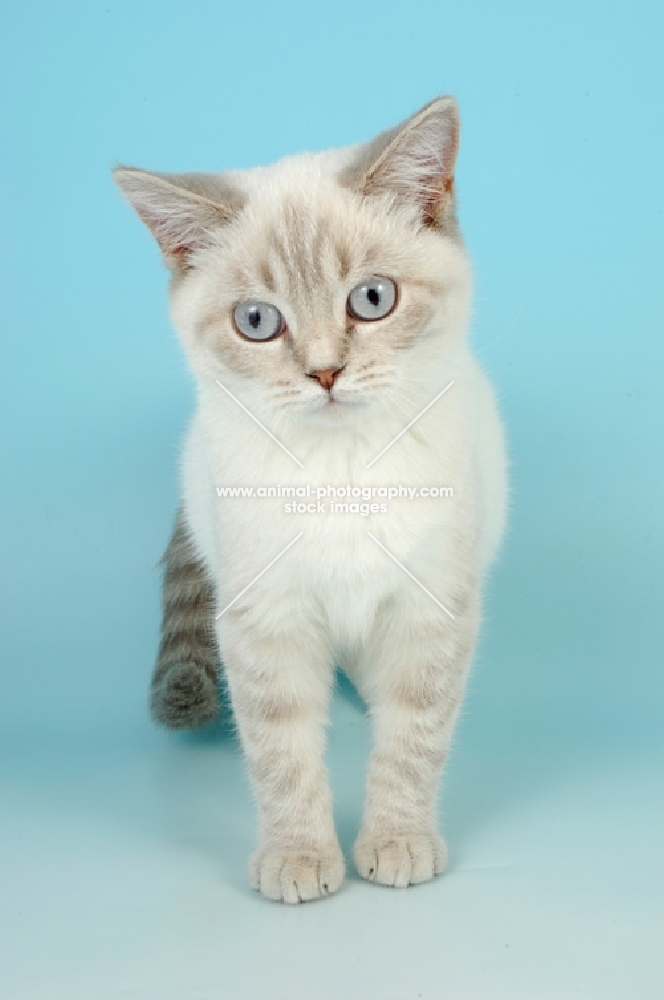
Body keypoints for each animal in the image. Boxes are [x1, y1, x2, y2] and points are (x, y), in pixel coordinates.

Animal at [114, 97, 508, 904]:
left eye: (372, 299)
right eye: (257, 322)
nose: (325, 372)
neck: (341, 470)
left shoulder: (430, 608)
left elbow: (414, 738)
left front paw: (396, 840)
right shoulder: (266, 618)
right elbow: (281, 750)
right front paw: (297, 856)